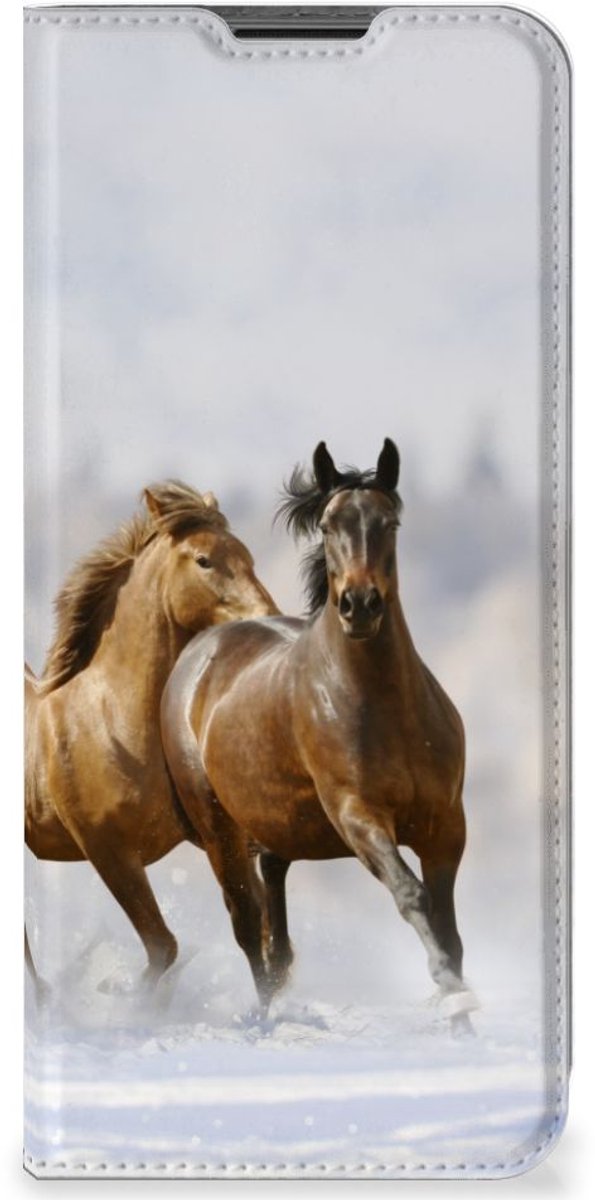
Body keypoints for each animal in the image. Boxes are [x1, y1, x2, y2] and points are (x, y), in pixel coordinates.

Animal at [25, 481, 277, 994]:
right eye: (204, 560)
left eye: (247, 555)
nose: (268, 617)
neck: (112, 724)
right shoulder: (109, 852)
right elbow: (163, 946)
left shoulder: (215, 837)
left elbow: (253, 924)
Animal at [161, 441, 477, 1032]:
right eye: (329, 526)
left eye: (389, 522)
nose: (360, 605)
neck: (385, 708)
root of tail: (198, 653)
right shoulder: (358, 816)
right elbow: (413, 896)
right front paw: (452, 996)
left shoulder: (445, 825)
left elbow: (448, 926)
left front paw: (463, 1020)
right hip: (218, 830)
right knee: (247, 924)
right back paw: (265, 1020)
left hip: (276, 828)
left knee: (274, 921)